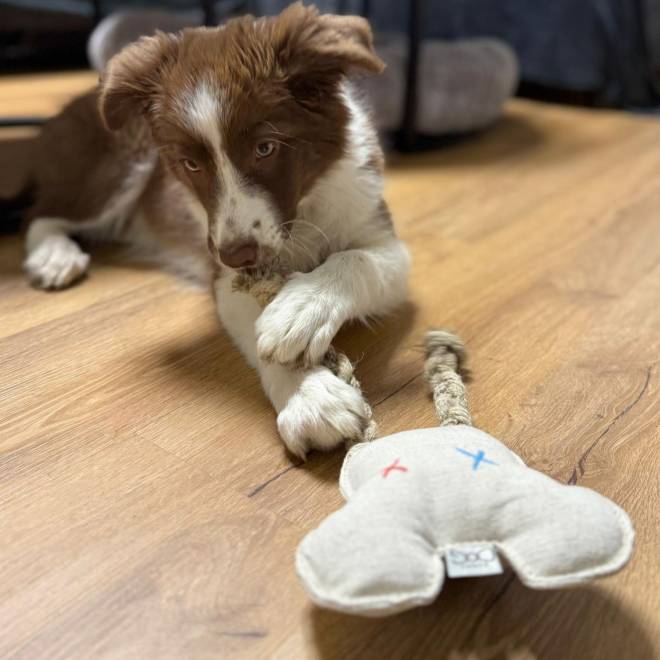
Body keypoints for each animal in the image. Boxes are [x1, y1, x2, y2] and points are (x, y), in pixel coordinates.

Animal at [20, 3, 410, 457]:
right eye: (191, 165)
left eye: (265, 148)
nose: (237, 255)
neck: (303, 212)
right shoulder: (224, 274)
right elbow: (254, 327)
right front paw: (311, 399)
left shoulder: (384, 238)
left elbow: (355, 258)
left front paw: (301, 308)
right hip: (116, 163)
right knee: (43, 213)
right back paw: (54, 256)